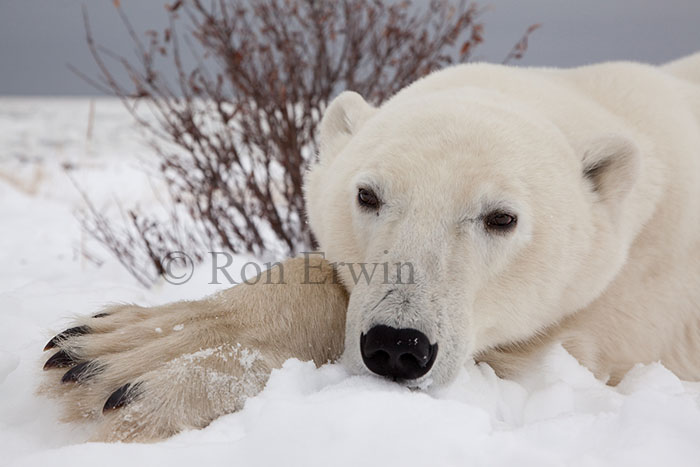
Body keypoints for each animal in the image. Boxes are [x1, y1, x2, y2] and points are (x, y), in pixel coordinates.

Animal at [42, 53, 700, 440]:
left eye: (502, 218)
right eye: (367, 194)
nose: (398, 346)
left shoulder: (627, 313)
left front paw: (125, 370)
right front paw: (98, 347)